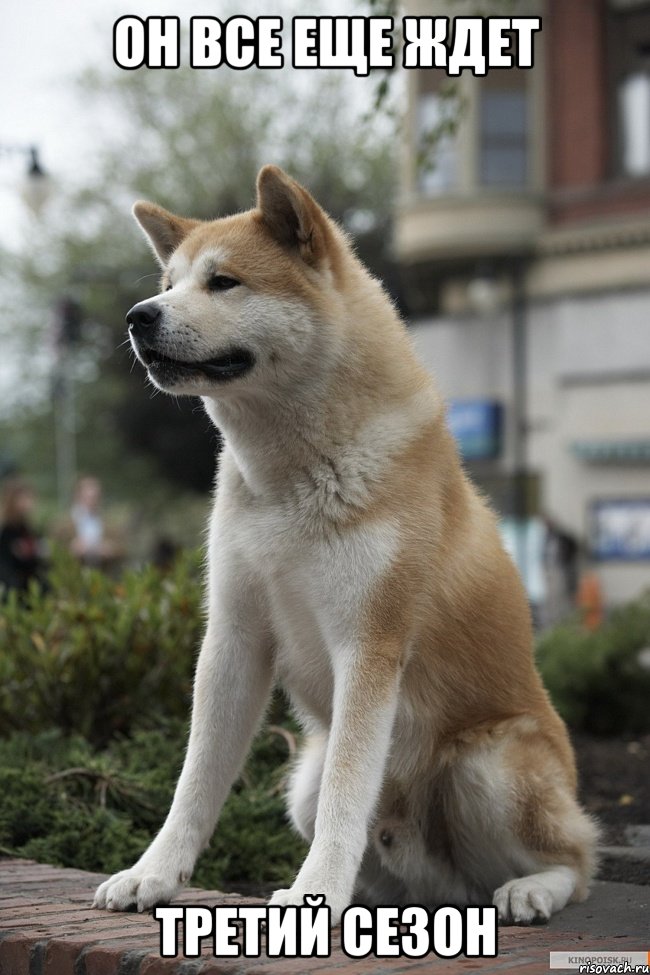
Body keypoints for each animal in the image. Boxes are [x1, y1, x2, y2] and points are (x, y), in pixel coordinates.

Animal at [93, 166, 596, 924]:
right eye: (170, 281)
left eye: (223, 282)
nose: (138, 315)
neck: (291, 478)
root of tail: (444, 885)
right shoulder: (234, 637)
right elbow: (196, 780)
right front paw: (153, 872)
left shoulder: (369, 643)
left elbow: (346, 792)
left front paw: (313, 892)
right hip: (300, 779)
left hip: (488, 765)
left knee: (577, 860)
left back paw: (530, 888)